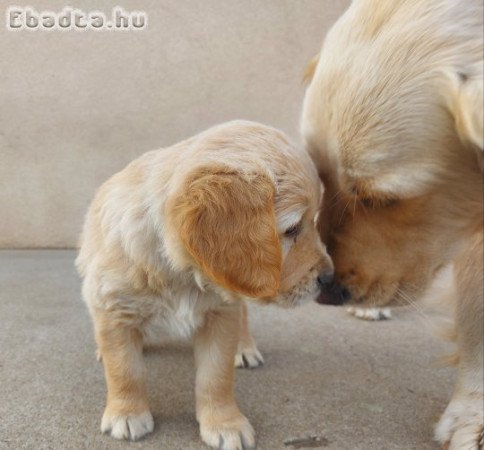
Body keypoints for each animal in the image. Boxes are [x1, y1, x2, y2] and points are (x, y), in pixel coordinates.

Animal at [76, 120, 332, 450]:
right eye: (292, 229)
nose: (329, 277)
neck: (181, 273)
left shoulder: (221, 314)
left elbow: (216, 377)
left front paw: (224, 423)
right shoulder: (114, 308)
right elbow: (124, 369)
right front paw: (127, 413)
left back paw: (244, 348)